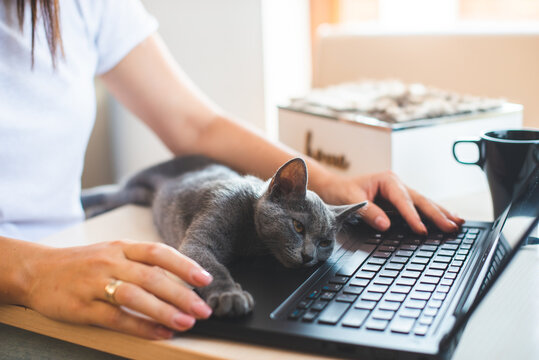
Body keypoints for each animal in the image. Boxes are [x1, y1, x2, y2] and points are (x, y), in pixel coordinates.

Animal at [82, 156, 368, 316]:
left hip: (139, 194)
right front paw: (229, 296)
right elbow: (212, 268)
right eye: (298, 227)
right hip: (134, 184)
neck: (253, 241)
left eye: (324, 243)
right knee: (111, 191)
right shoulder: (201, 238)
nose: (308, 256)